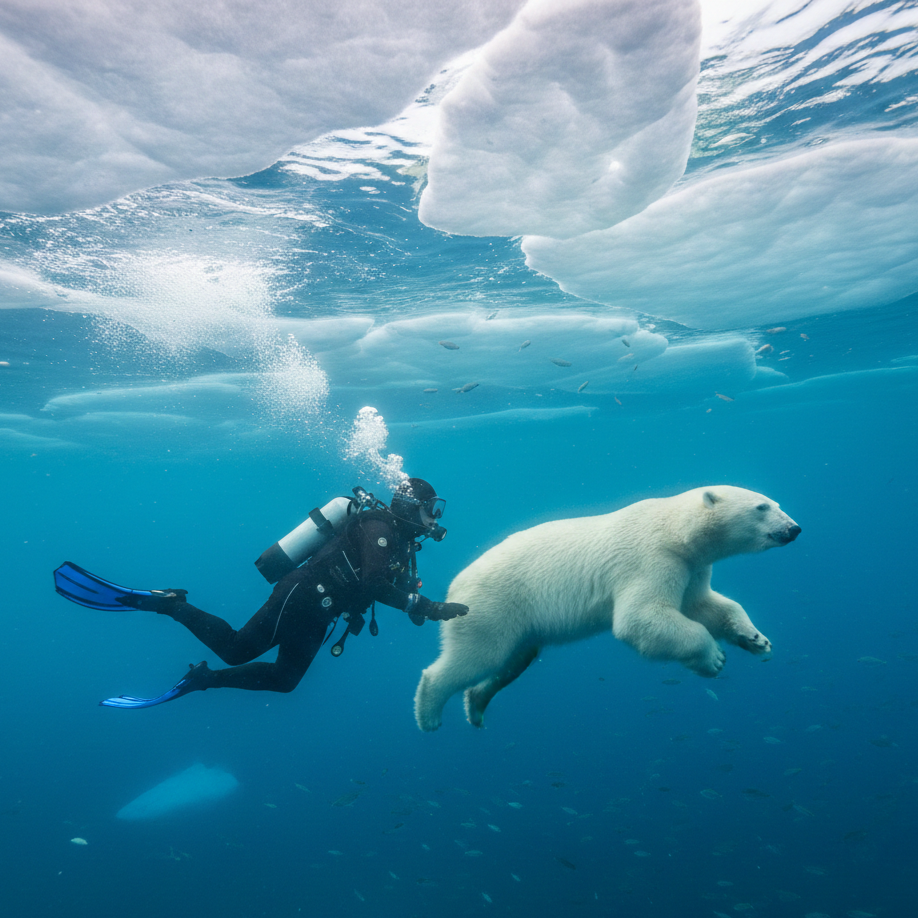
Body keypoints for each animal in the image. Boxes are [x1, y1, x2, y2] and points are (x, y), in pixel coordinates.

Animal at [414, 486, 800, 732]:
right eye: (762, 507)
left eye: (775, 502)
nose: (794, 528)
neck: (674, 530)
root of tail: (453, 587)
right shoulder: (651, 559)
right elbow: (639, 617)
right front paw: (713, 658)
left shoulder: (690, 566)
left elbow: (705, 604)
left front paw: (756, 640)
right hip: (491, 606)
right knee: (477, 657)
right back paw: (429, 714)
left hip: (518, 623)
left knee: (513, 661)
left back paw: (477, 707)